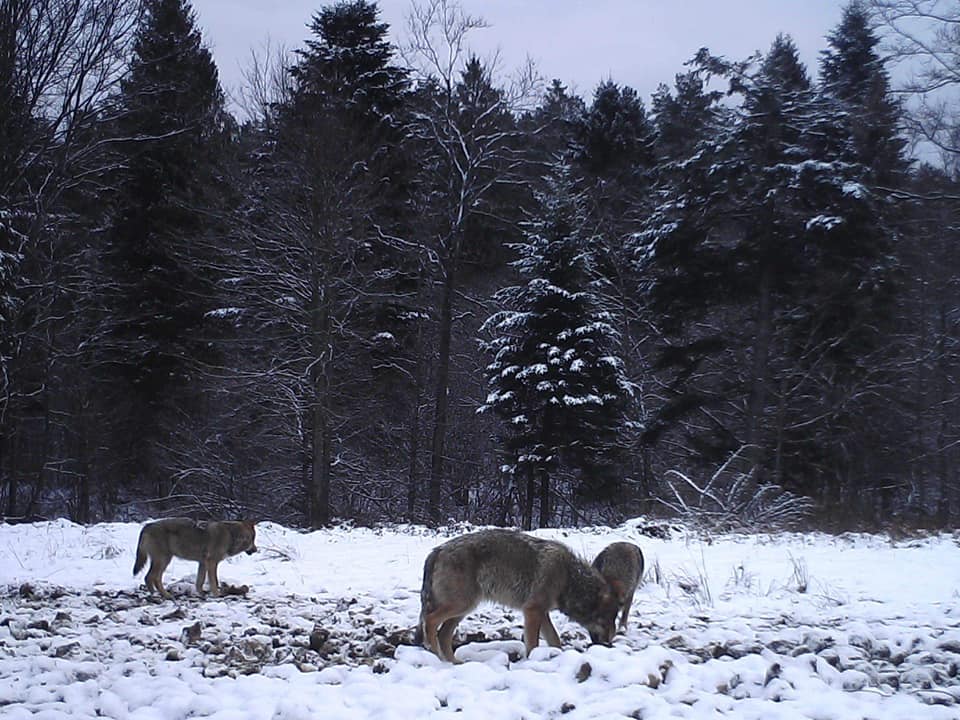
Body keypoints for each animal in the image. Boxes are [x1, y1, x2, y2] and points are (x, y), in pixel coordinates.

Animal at [418, 528, 624, 664]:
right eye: (606, 620)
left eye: (613, 619)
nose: (609, 643)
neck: (568, 577)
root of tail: (436, 551)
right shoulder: (532, 611)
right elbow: (533, 643)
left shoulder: (542, 613)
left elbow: (555, 639)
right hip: (461, 605)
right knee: (430, 622)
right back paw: (435, 655)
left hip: (463, 609)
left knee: (444, 634)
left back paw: (453, 662)